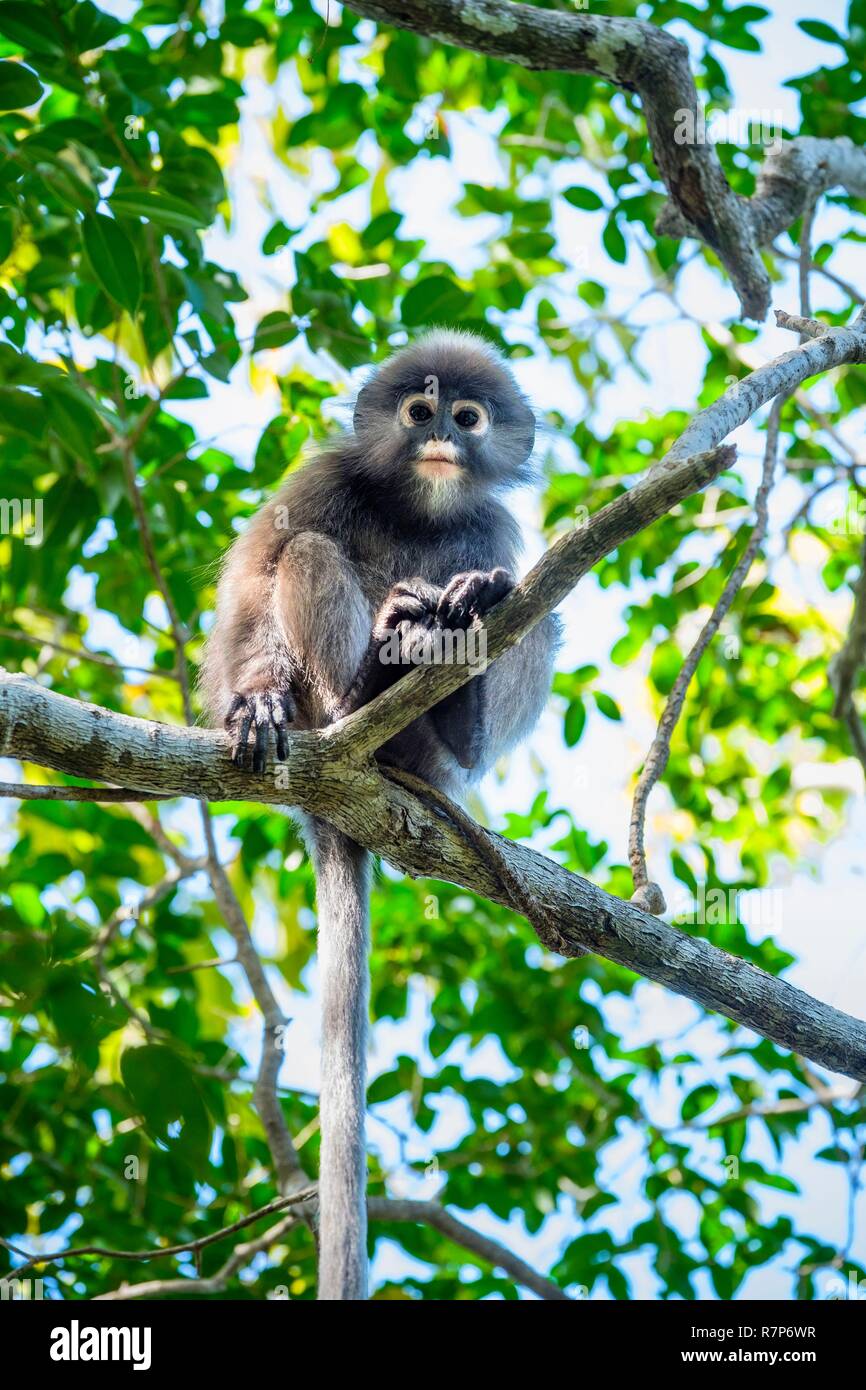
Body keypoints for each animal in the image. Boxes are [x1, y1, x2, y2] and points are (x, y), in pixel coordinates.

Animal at [200, 328, 558, 1301]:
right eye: (418, 411)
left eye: (467, 418)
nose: (440, 436)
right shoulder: (321, 475)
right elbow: (261, 571)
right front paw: (252, 705)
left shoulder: (496, 529)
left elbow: (514, 580)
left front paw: (469, 616)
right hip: (322, 702)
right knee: (307, 553)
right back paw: (373, 672)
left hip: (437, 754)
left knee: (531, 617)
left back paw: (457, 697)